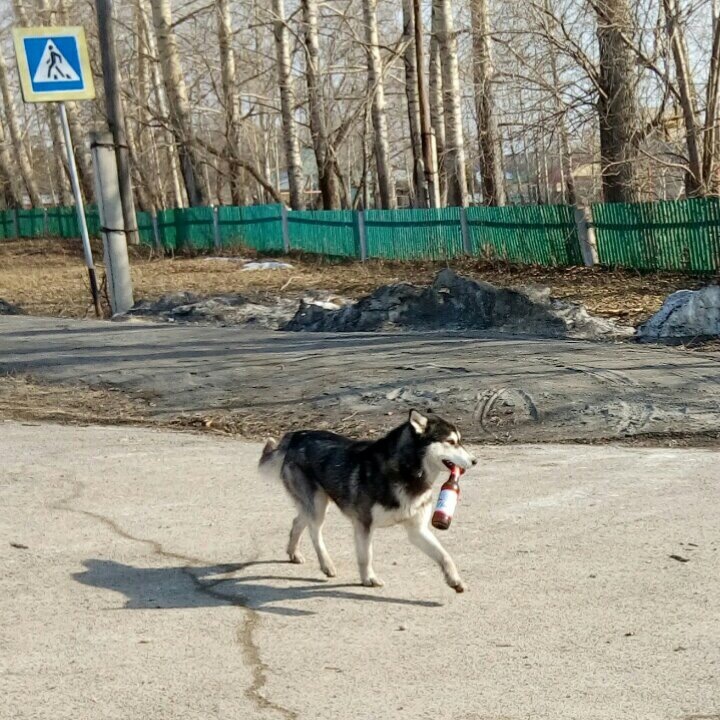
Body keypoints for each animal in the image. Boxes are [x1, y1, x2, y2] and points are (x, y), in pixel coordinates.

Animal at [256, 408, 476, 592]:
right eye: (451, 442)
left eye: (460, 441)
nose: (475, 461)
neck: (406, 471)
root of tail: (294, 436)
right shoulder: (364, 524)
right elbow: (365, 556)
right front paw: (368, 578)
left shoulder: (417, 530)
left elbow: (445, 556)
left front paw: (454, 580)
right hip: (317, 506)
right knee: (314, 532)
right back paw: (326, 564)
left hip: (316, 504)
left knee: (297, 522)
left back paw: (293, 552)